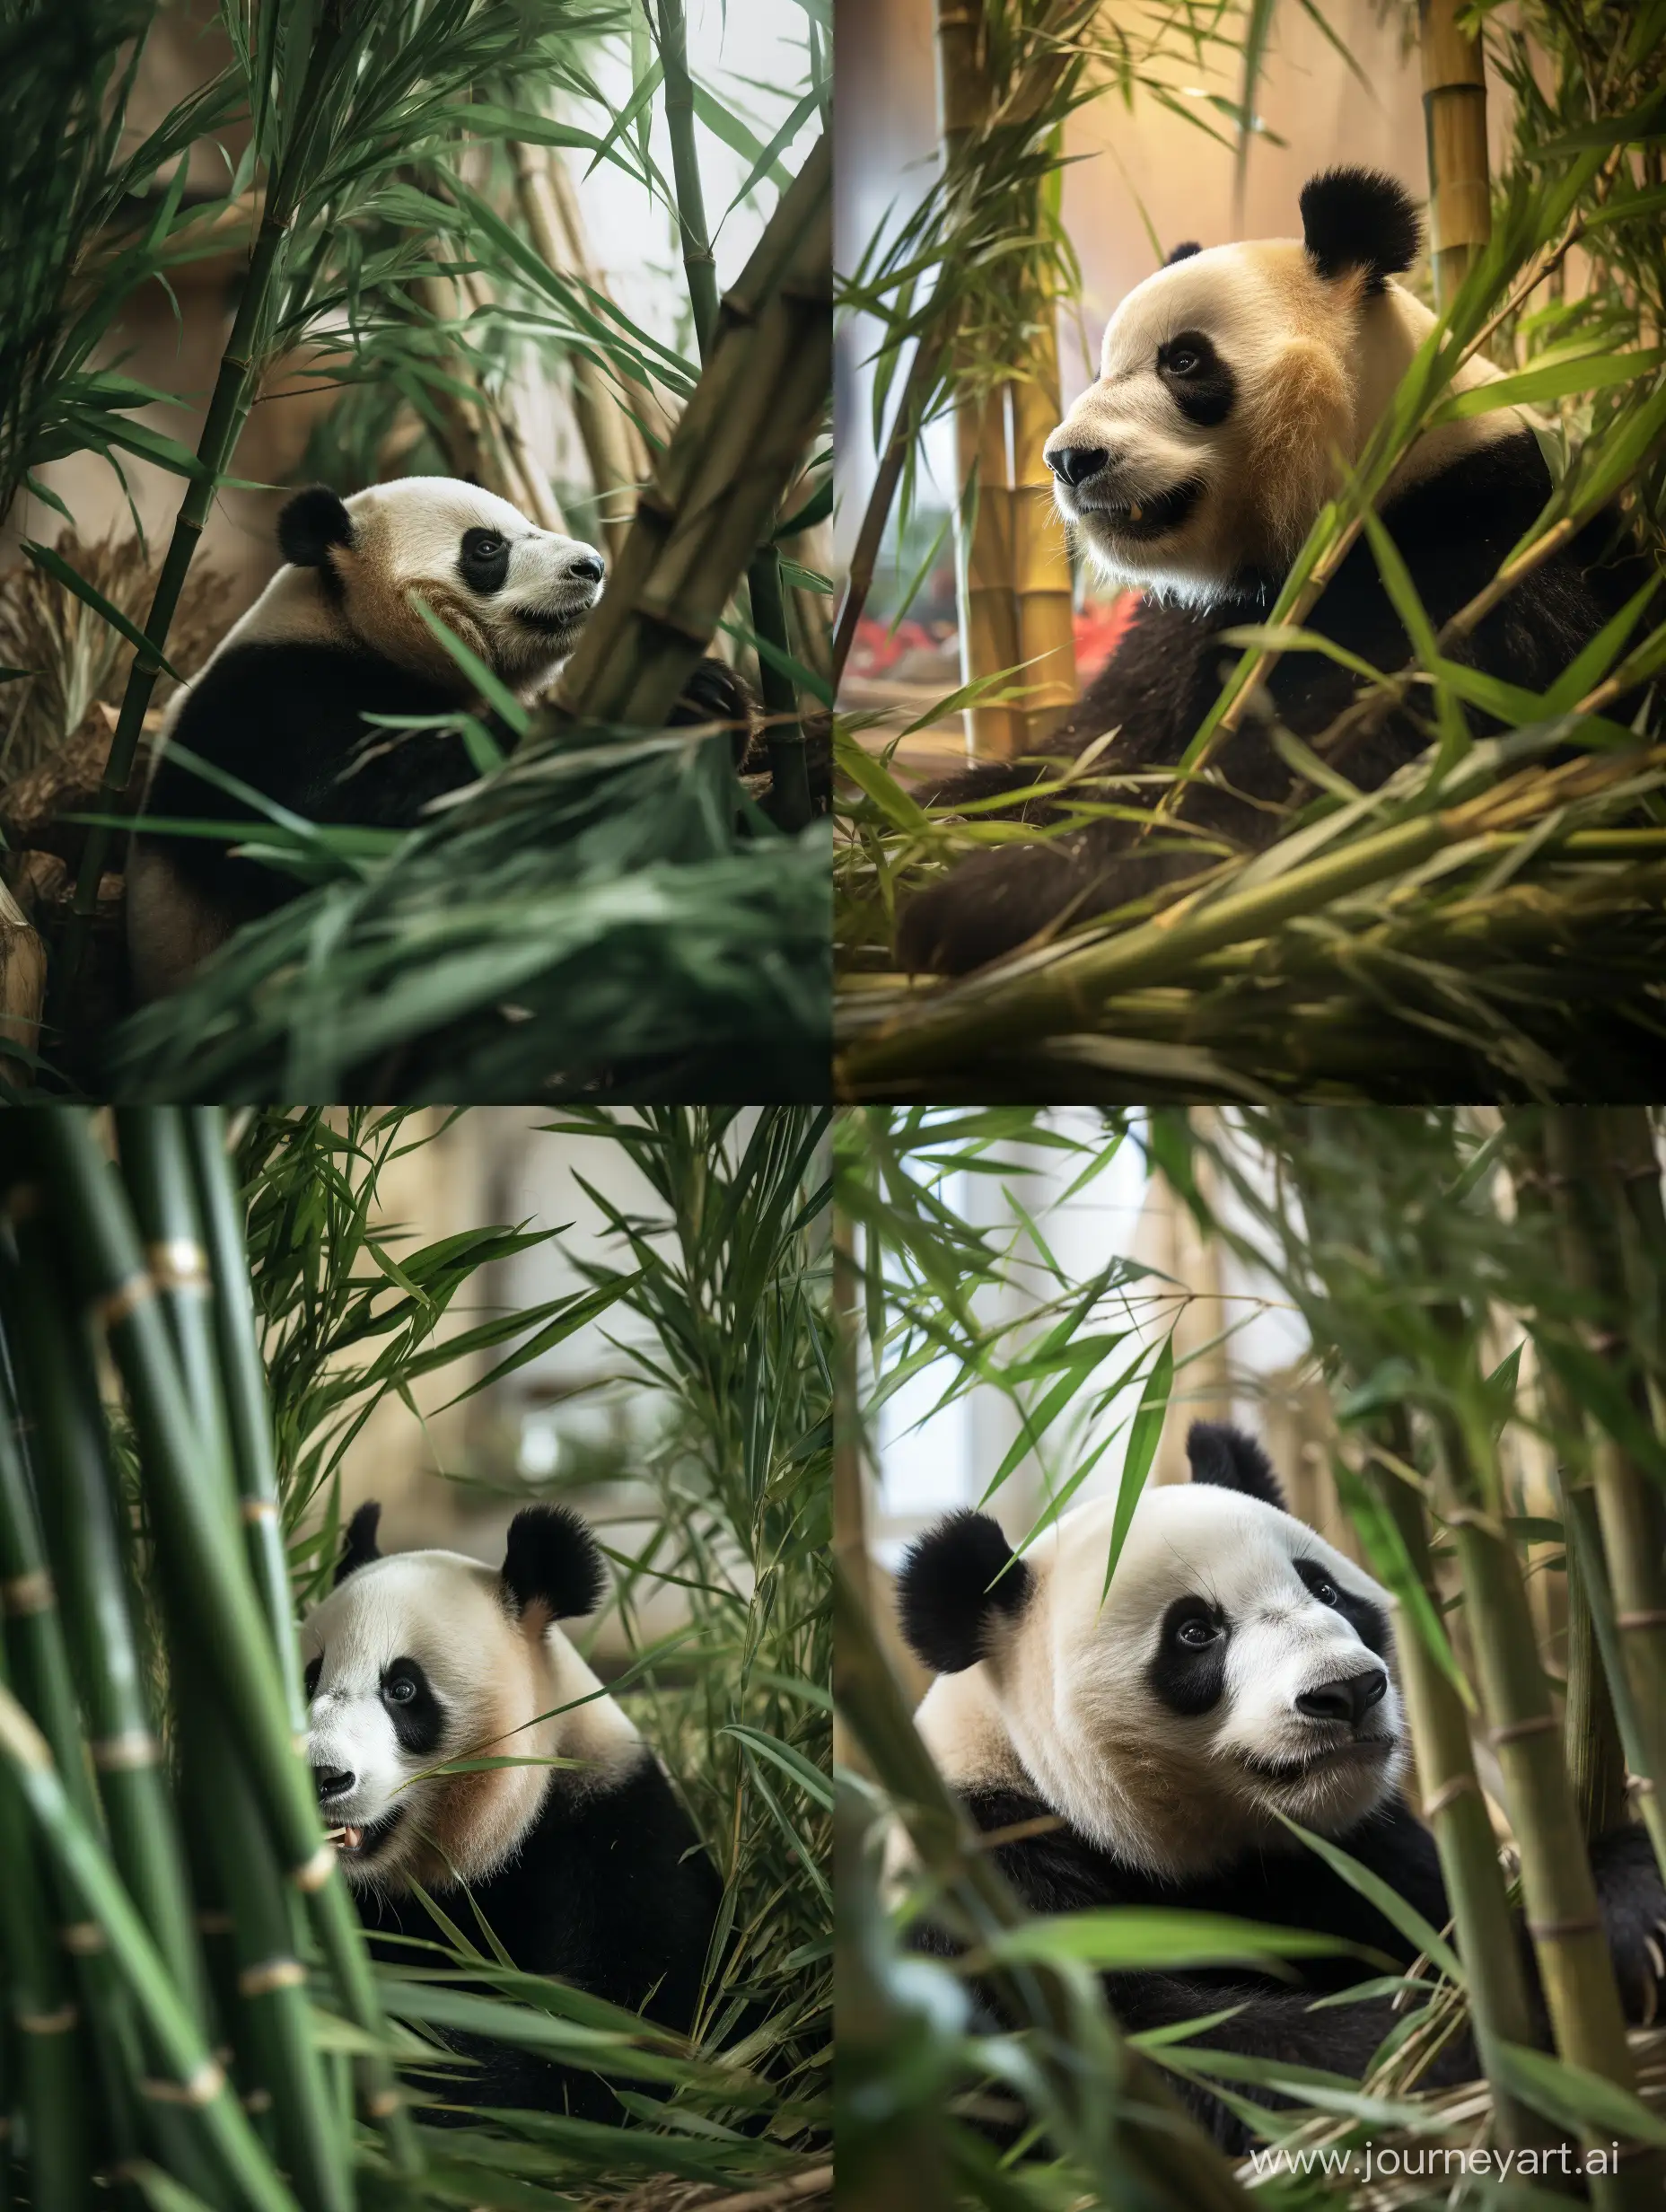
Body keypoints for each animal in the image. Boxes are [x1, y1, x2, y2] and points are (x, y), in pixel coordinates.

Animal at [898, 170, 1654, 969]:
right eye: (1101, 368)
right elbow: (1087, 750)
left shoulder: (1477, 561)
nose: (1071, 459)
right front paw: (919, 819)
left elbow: (1330, 779)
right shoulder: (1188, 626)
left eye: (1184, 361)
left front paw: (998, 897)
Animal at [898, 1424, 1666, 2150]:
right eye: (1195, 1632)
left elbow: (1449, 1909)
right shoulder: (988, 1876)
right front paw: (1500, 2017)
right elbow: (1175, 2057)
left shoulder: (1352, 1850)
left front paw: (1622, 1907)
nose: (1347, 1691)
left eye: (1323, 1589)